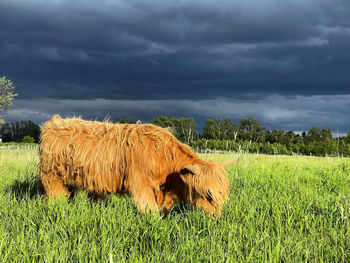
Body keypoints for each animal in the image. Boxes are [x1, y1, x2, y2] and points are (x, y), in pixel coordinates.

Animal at [39, 115, 237, 217]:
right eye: (207, 194)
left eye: (223, 195)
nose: (216, 216)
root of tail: (54, 122)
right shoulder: (140, 183)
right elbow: (149, 208)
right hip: (52, 176)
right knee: (57, 196)